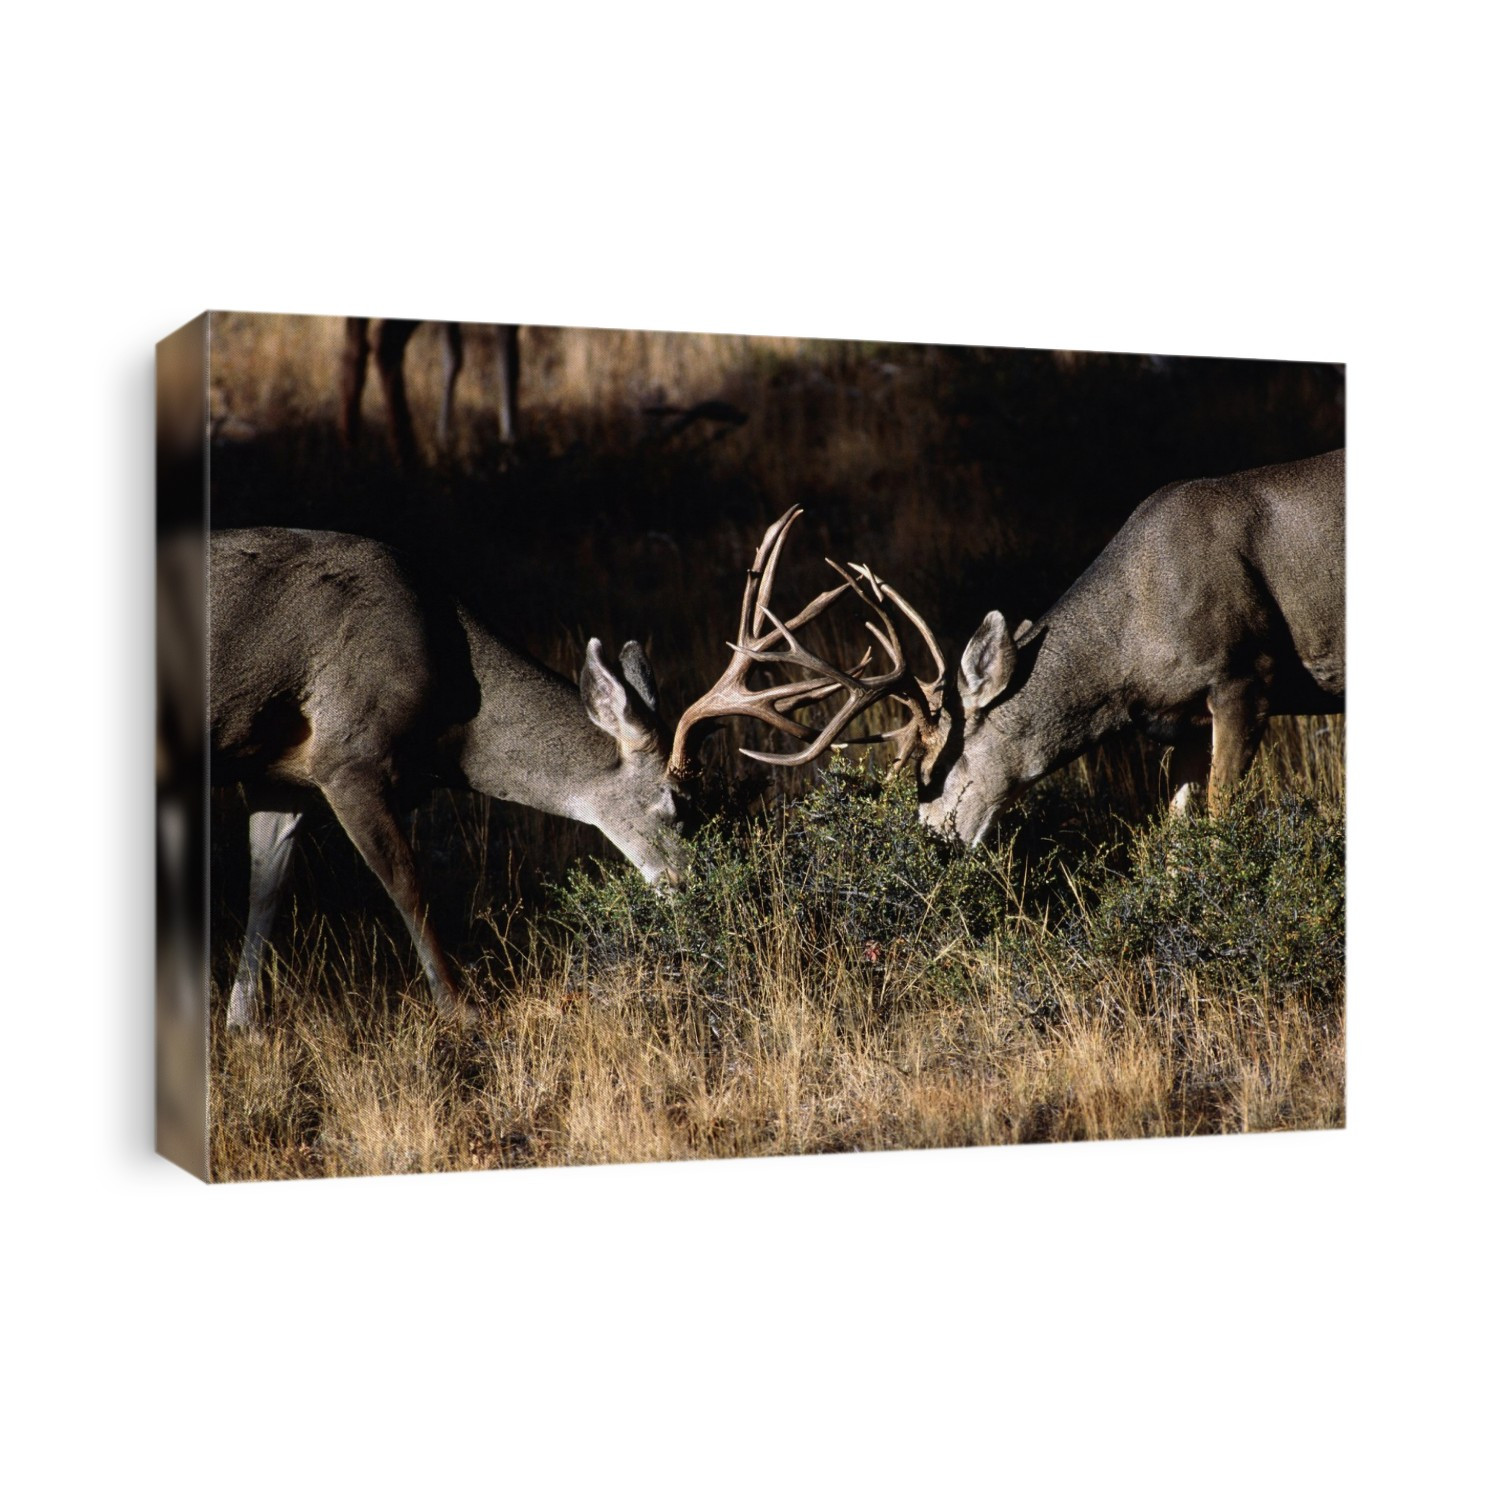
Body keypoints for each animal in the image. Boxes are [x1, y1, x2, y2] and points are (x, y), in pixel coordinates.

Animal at [210, 510, 860, 1031]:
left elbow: (264, 888)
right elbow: (409, 886)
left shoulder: (280, 774)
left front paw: (242, 1026)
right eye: (677, 802)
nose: (705, 889)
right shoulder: (346, 755)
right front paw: (463, 1009)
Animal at [337, 318, 520, 468]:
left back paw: (351, 453)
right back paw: (408, 464)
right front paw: (509, 444)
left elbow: (453, 356)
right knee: (384, 341)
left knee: (353, 348)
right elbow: (510, 360)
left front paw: (444, 440)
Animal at [702, 451, 1346, 846]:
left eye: (934, 770)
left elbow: (1220, 816)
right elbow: (1180, 827)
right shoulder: (1182, 721)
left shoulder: (1244, 676)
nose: (930, 843)